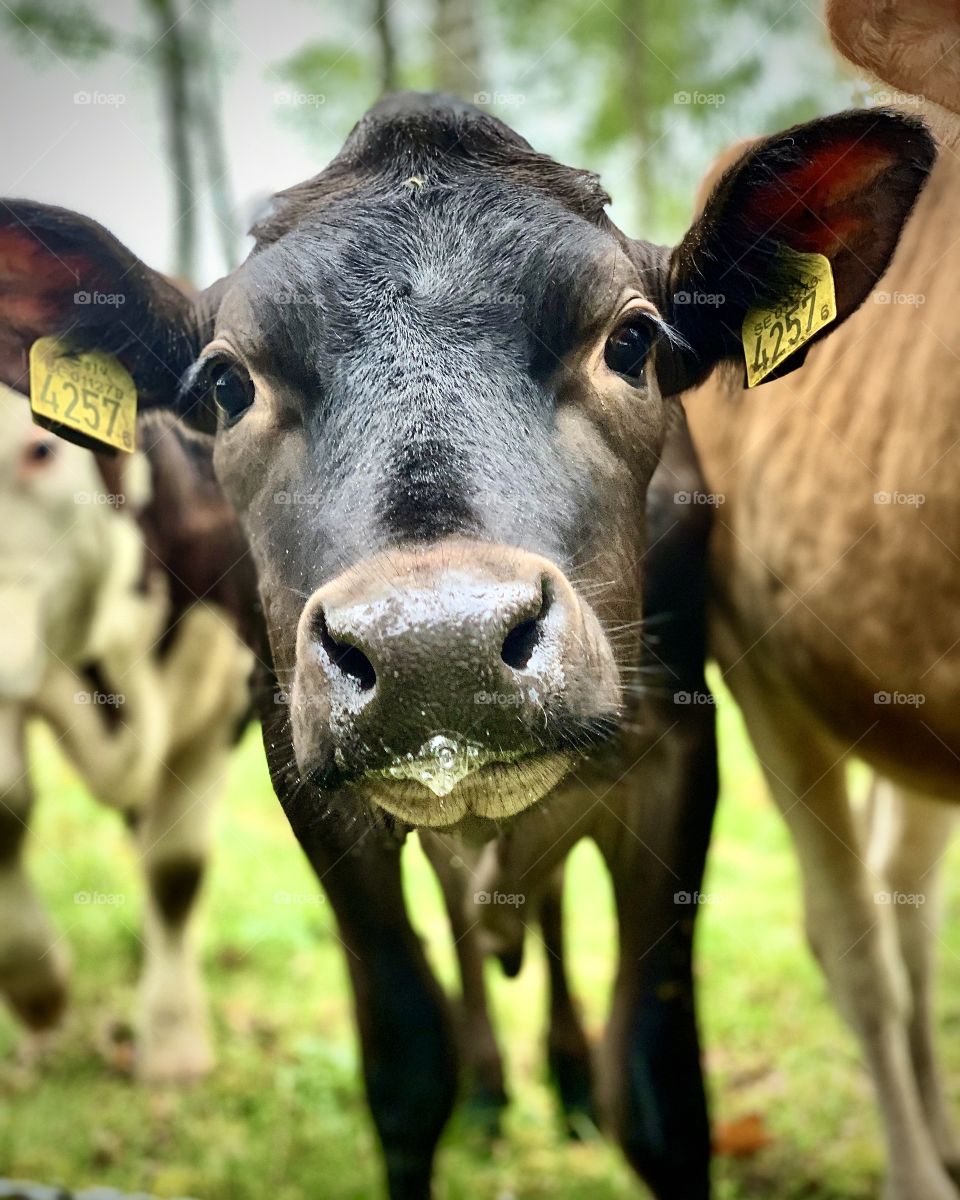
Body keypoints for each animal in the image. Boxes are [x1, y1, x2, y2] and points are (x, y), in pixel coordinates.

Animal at [0, 386, 250, 1089]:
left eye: (39, 449)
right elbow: (5, 810)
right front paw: (36, 986)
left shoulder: (232, 694)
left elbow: (175, 870)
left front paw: (173, 1042)